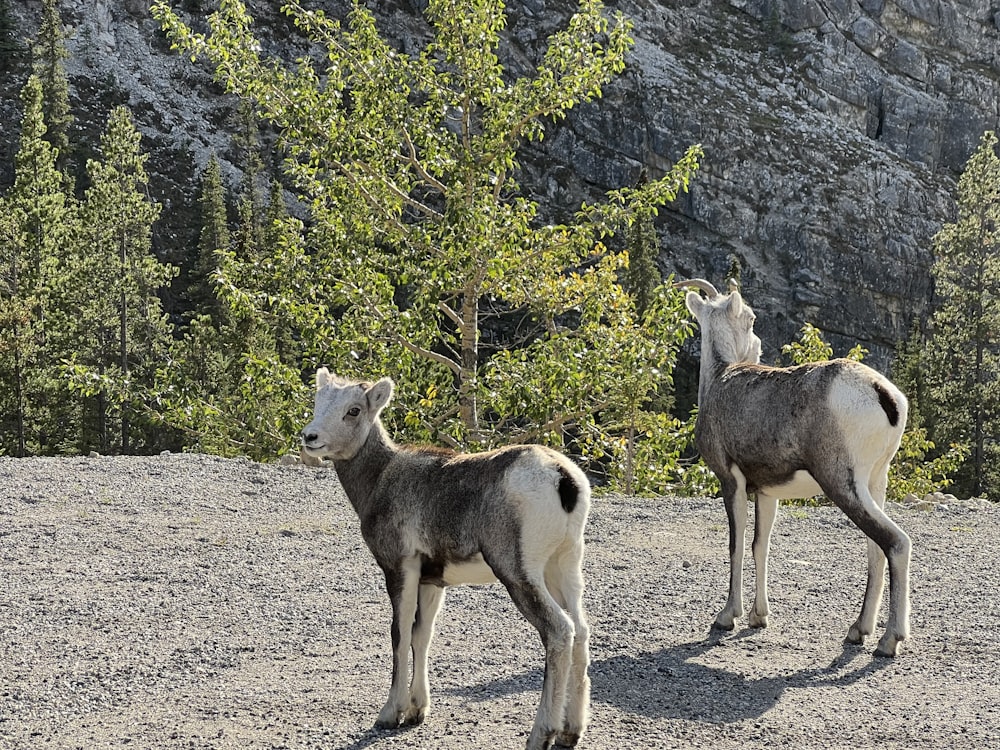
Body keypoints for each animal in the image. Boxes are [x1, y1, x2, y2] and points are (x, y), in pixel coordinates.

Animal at [300, 372, 588, 750]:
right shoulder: (432, 580)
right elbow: (422, 636)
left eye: (353, 410)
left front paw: (390, 714)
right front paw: (416, 711)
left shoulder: (400, 568)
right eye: (319, 401)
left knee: (560, 631)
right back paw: (570, 732)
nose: (310, 437)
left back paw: (541, 734)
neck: (381, 477)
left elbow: (399, 633)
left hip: (519, 573)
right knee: (581, 630)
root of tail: (562, 478)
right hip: (563, 567)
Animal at [680, 280, 916, 656]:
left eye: (751, 317)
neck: (720, 378)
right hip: (876, 483)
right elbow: (760, 546)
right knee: (876, 550)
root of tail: (884, 394)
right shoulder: (767, 493)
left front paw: (727, 617)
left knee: (895, 542)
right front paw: (758, 618)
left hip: (842, 484)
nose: (759, 346)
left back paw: (888, 641)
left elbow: (736, 544)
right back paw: (858, 631)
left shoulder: (731, 481)